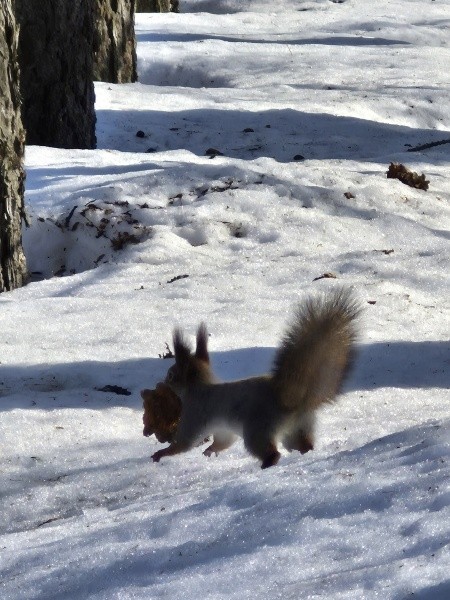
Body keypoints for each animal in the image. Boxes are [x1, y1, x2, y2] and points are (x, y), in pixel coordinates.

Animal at [151, 288, 360, 469]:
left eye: (171, 374)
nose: (163, 382)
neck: (199, 386)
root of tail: (290, 399)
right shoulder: (223, 429)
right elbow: (223, 441)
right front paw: (210, 450)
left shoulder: (194, 414)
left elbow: (185, 442)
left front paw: (163, 453)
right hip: (298, 428)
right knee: (303, 445)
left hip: (257, 429)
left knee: (272, 452)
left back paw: (266, 464)